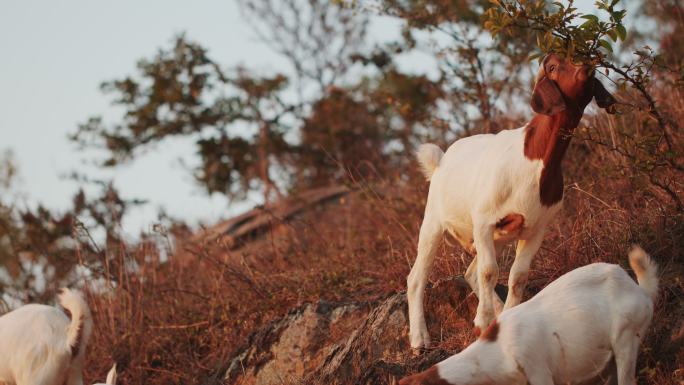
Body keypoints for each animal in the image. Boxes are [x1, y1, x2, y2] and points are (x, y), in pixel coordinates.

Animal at [406, 52, 620, 346]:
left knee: (470, 271)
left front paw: (505, 317)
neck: (535, 159)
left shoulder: (535, 229)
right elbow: (489, 271)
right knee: (418, 277)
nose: (587, 61)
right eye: (553, 66)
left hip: (495, 235)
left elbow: (517, 276)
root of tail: (440, 160)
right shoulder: (484, 221)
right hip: (434, 222)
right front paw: (481, 322)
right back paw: (419, 339)